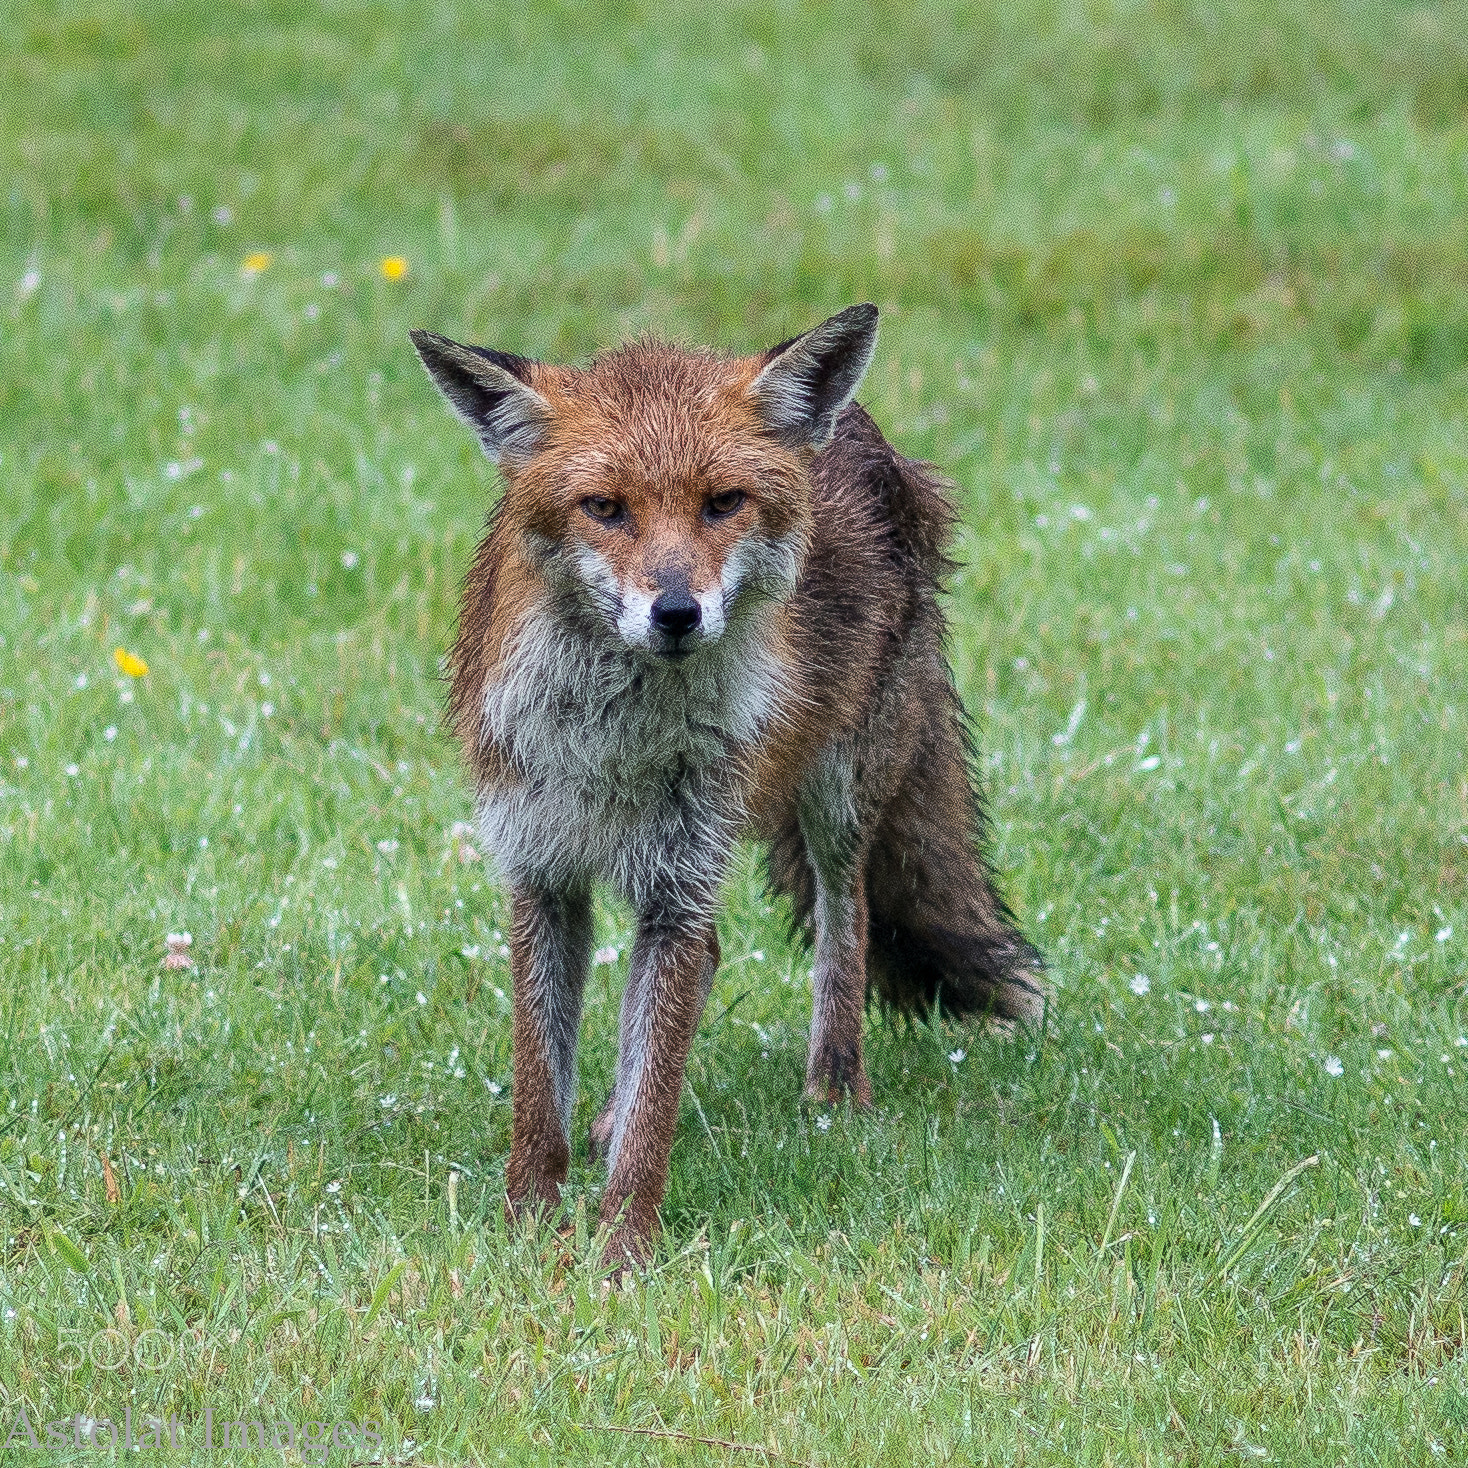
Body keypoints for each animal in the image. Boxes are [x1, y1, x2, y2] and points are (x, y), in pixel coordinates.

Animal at [410, 303, 1045, 1265]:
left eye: (722, 503)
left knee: (848, 920)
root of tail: (859, 429)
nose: (677, 613)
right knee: (710, 961)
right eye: (605, 509)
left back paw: (834, 1090)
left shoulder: (679, 877)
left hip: (838, 790)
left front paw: (621, 1254)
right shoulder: (541, 869)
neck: (615, 746)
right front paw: (529, 1227)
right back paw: (609, 1117)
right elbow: (539, 1093)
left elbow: (657, 1106)